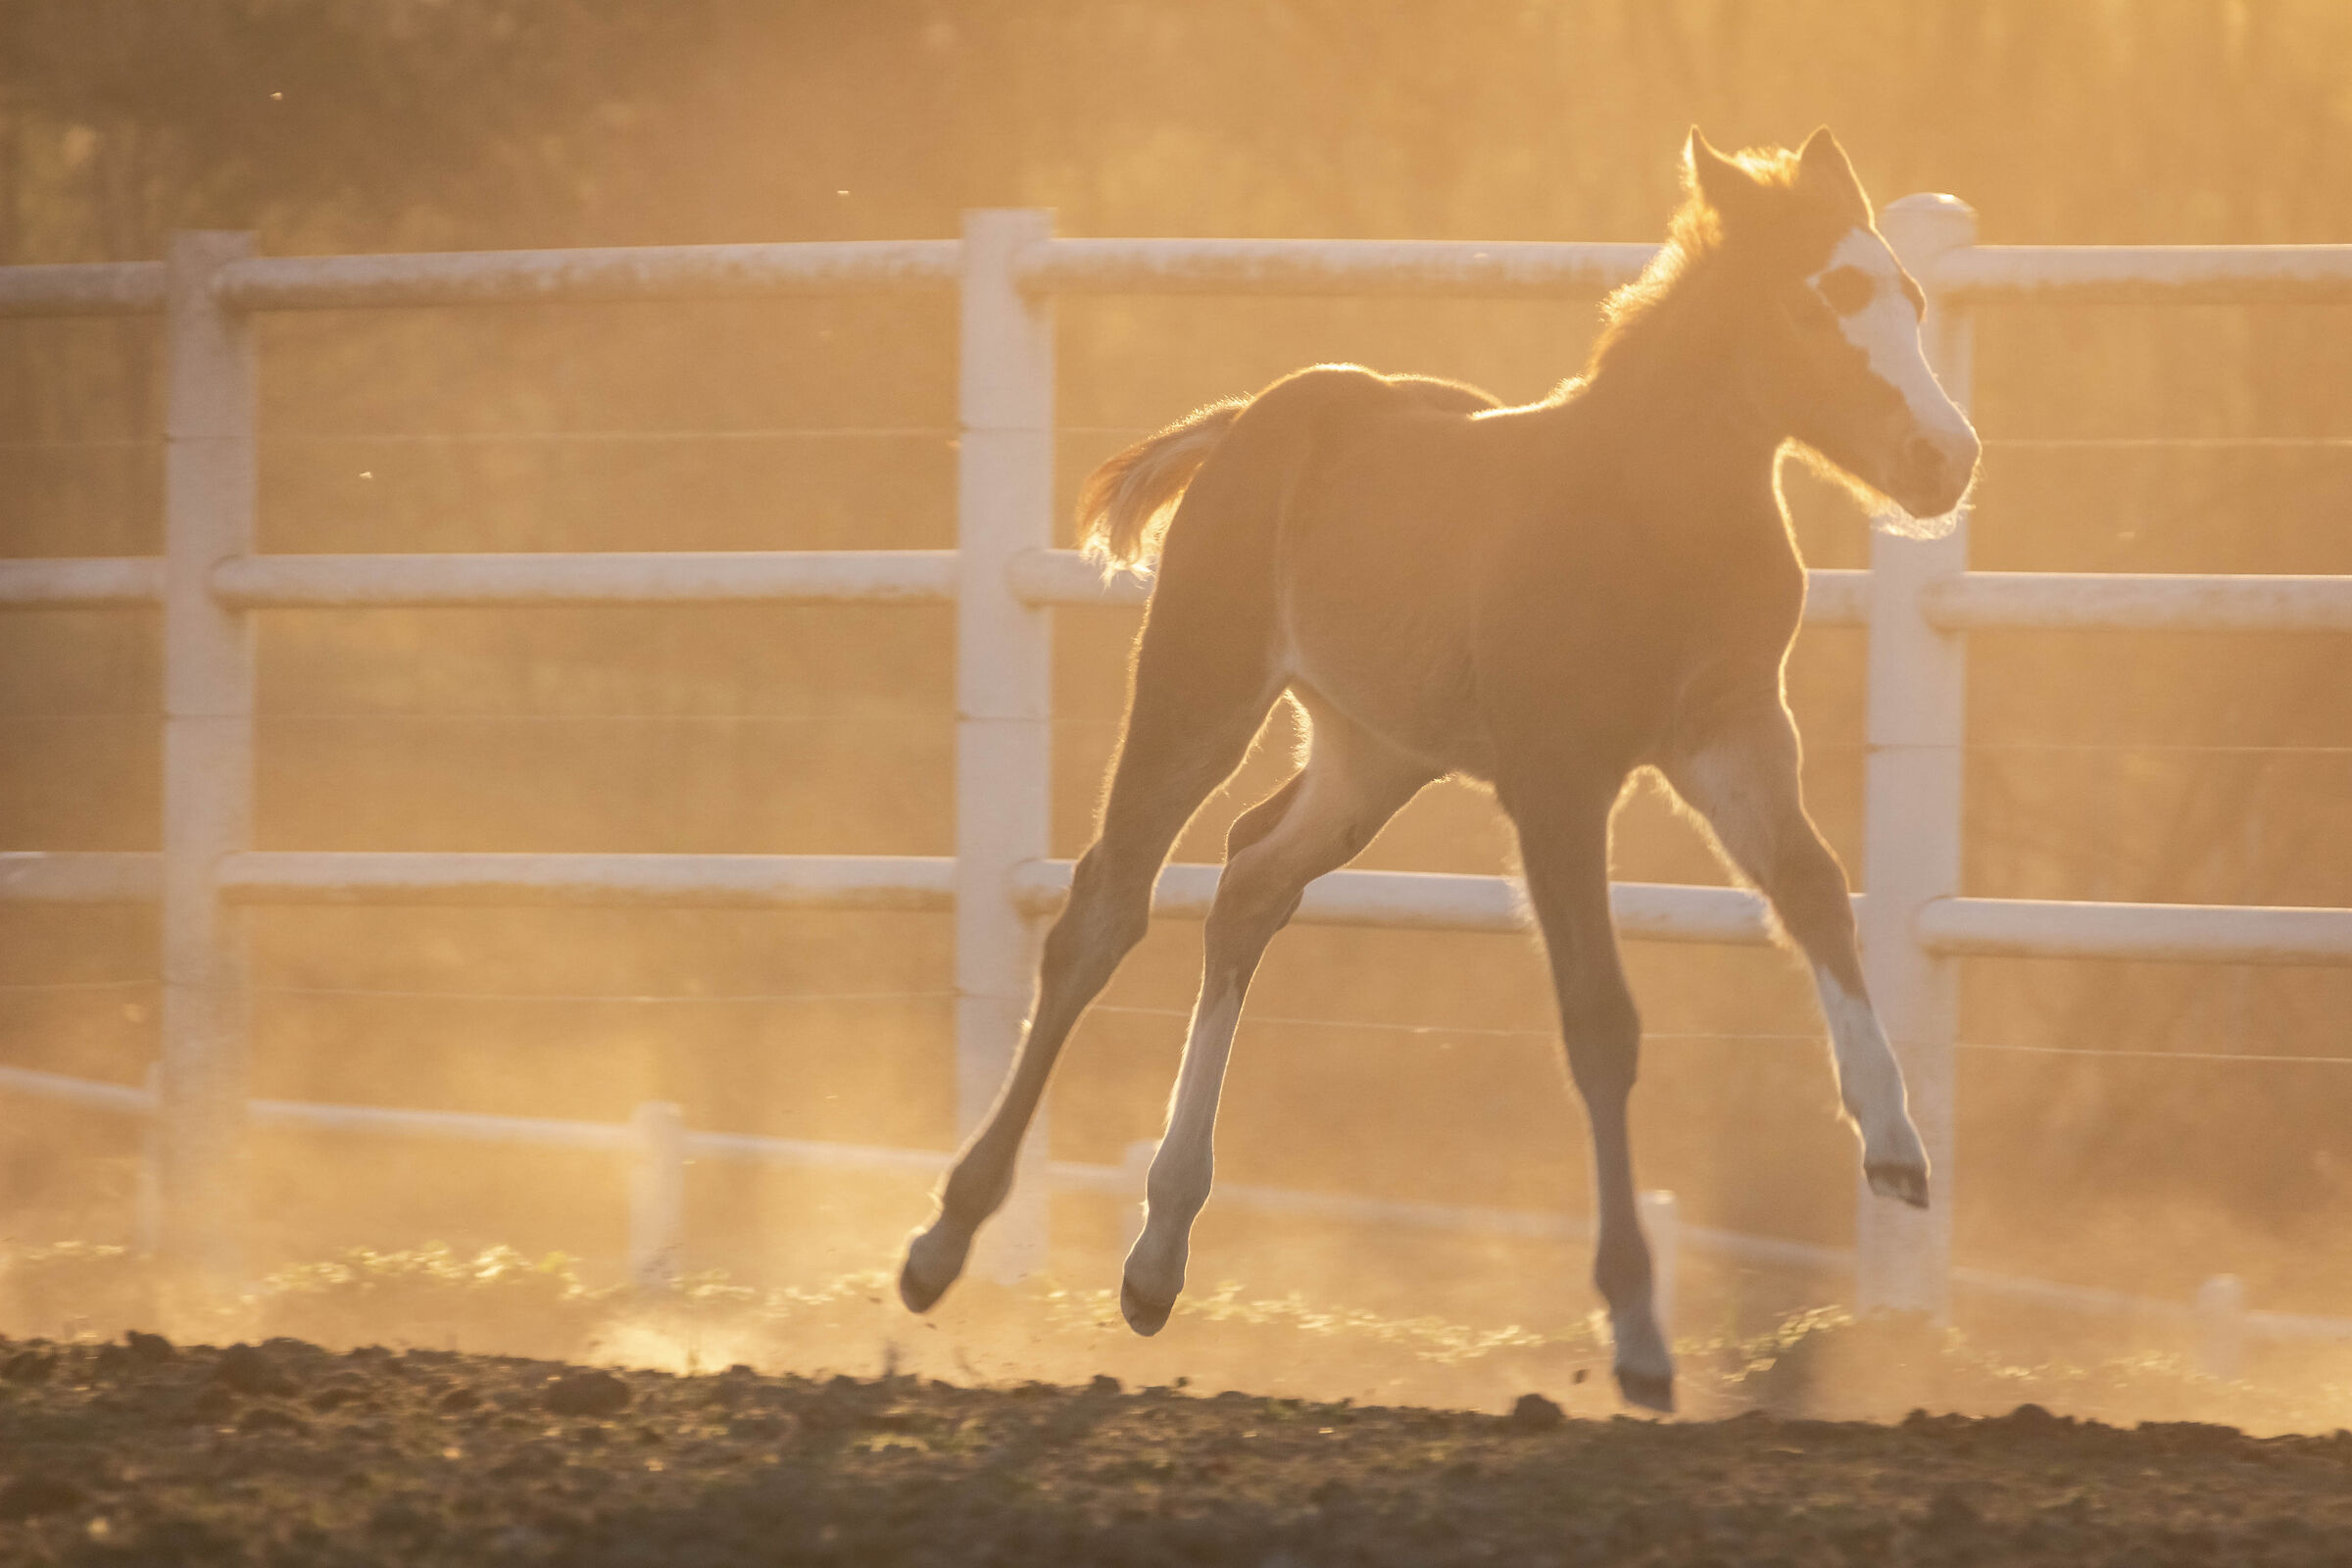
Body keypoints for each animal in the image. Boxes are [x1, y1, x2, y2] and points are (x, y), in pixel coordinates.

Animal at [900, 127, 1980, 1413]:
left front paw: (1898, 1148)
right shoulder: (1558, 775)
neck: (1649, 507)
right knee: (1102, 911)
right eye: (1817, 304)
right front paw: (1636, 1331)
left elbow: (1814, 891)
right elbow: (1599, 1017)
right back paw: (943, 1243)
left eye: (1912, 297)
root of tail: (1252, 417)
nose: (1944, 459)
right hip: (1199, 690)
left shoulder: (1731, 731)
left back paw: (1158, 1257)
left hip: (1373, 757)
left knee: (1249, 882)